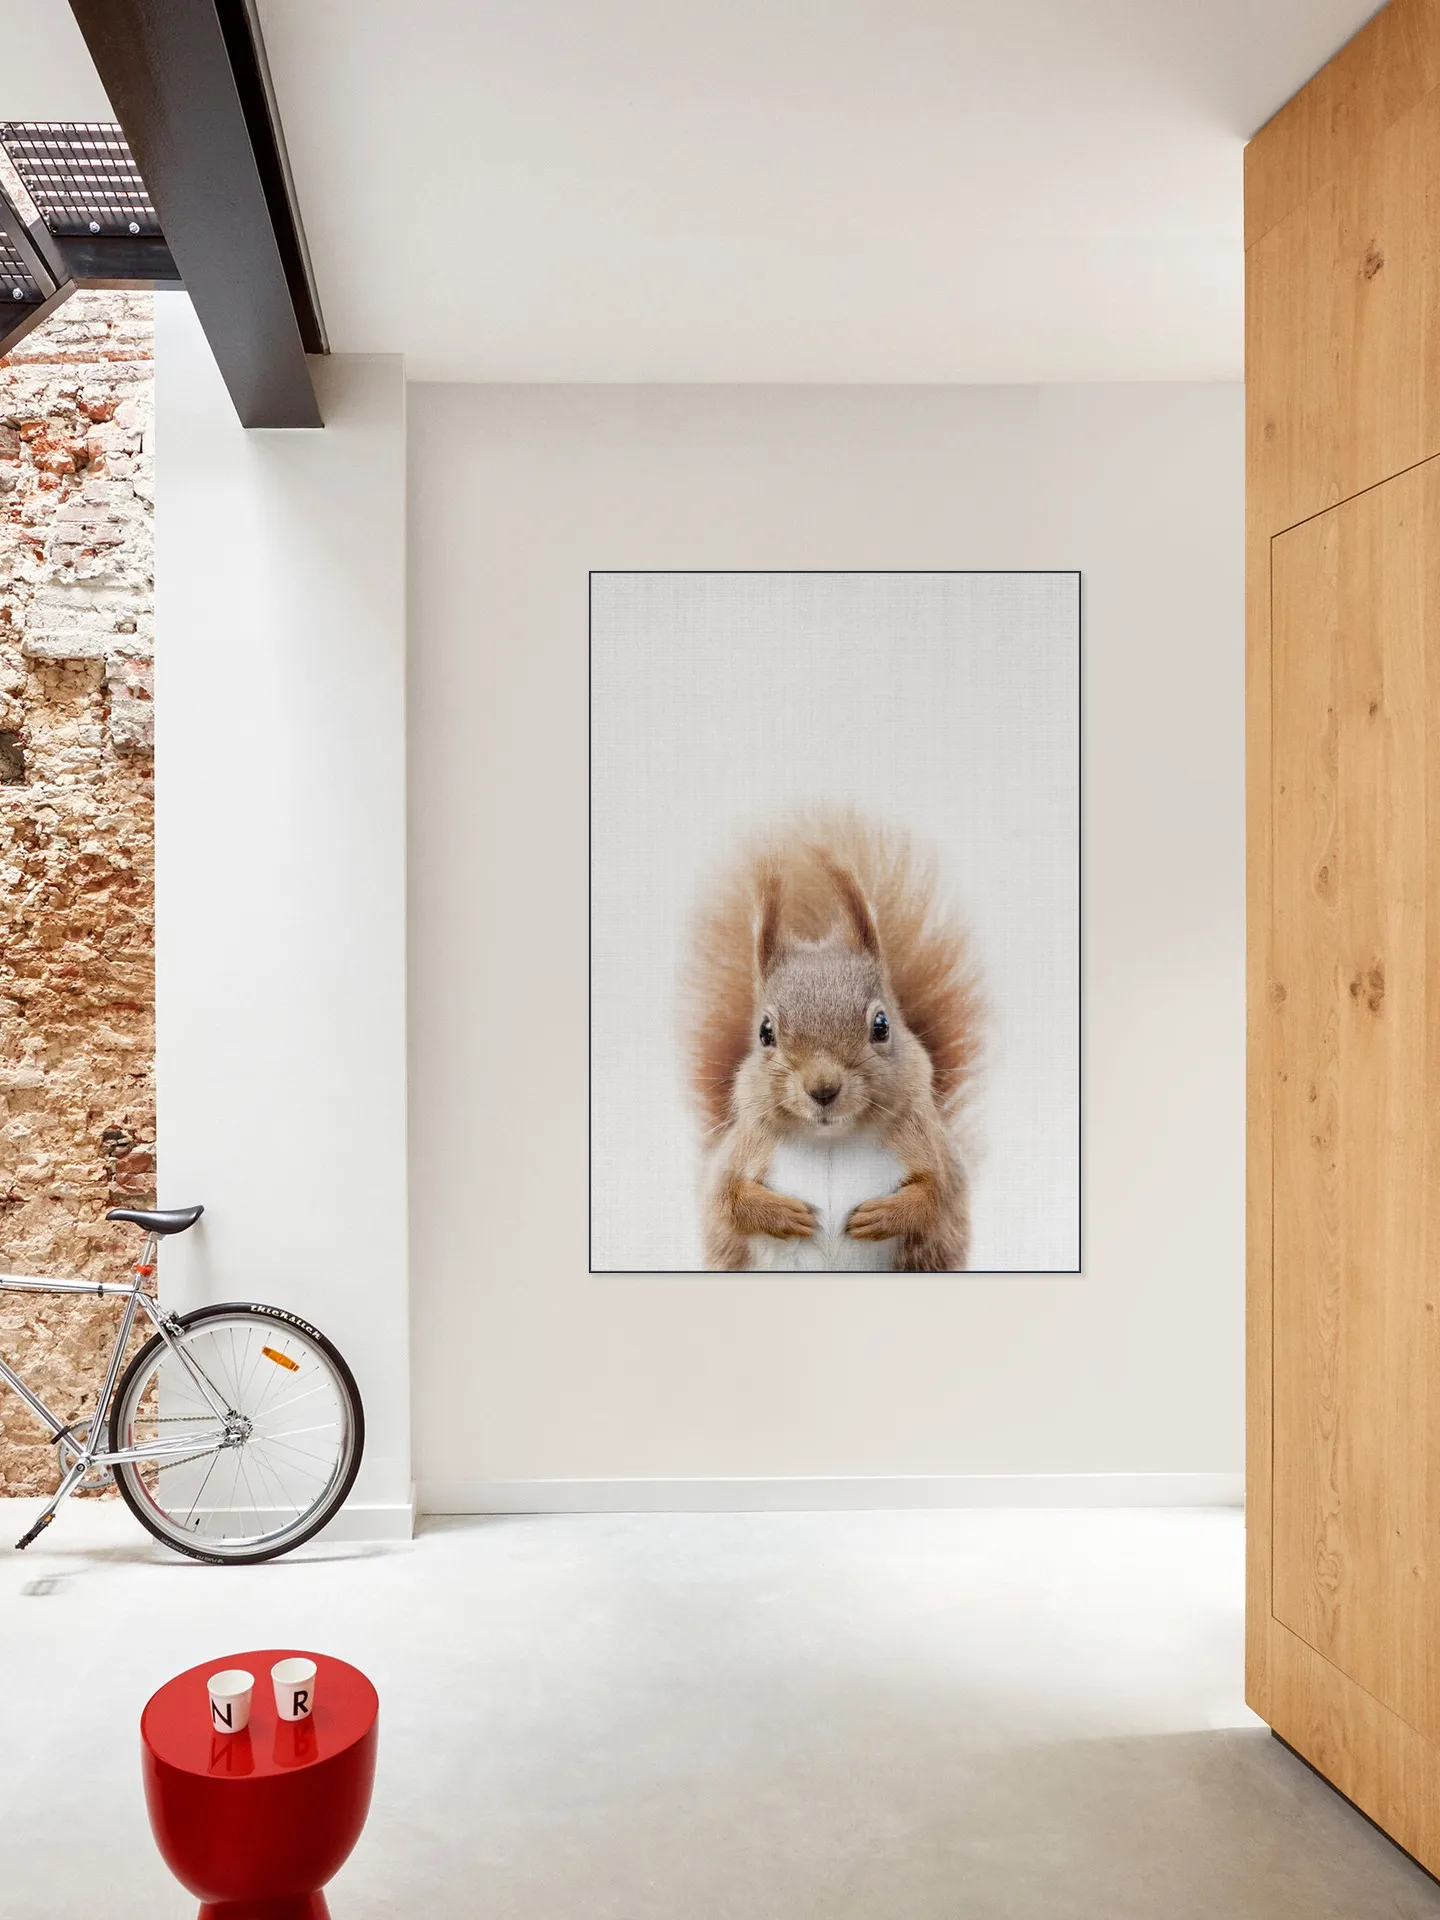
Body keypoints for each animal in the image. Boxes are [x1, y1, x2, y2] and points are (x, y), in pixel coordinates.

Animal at [682, 809, 982, 1272]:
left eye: (882, 1025)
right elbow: (727, 1198)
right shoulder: (739, 1155)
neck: (831, 1141)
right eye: (765, 1032)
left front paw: (886, 1214)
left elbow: (938, 1194)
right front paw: (781, 1213)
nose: (822, 1089)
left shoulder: (935, 1152)